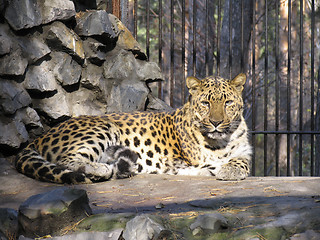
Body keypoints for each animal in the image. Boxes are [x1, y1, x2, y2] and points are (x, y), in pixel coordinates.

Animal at [15, 73, 252, 184]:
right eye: (205, 103)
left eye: (228, 103)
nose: (216, 122)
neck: (224, 139)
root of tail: (38, 138)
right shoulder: (186, 160)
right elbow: (210, 164)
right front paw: (219, 170)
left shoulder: (244, 152)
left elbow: (242, 161)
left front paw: (230, 169)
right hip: (102, 127)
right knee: (68, 159)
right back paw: (101, 169)